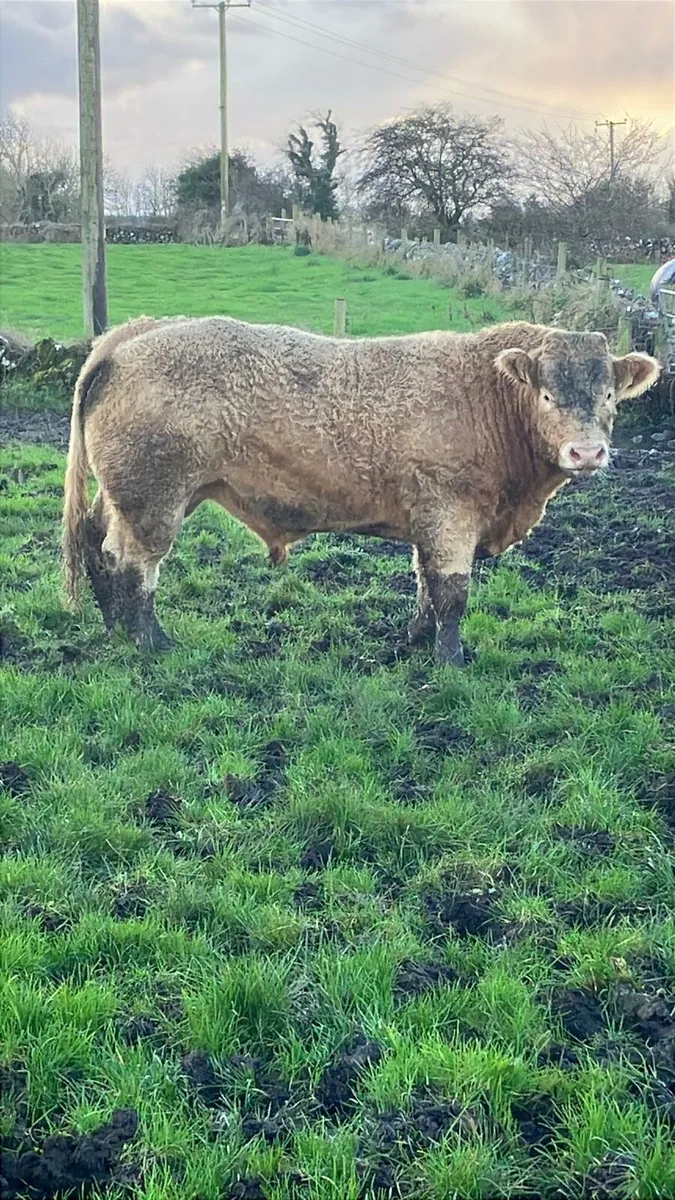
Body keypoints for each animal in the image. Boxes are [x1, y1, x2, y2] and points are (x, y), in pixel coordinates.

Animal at [62, 316, 660, 665]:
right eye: (547, 396)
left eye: (609, 394)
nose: (586, 452)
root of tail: (129, 336)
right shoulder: (450, 513)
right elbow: (452, 592)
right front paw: (450, 661)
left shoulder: (428, 519)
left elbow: (425, 583)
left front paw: (415, 637)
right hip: (154, 498)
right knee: (133, 564)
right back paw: (149, 641)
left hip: (127, 496)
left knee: (96, 544)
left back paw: (114, 628)